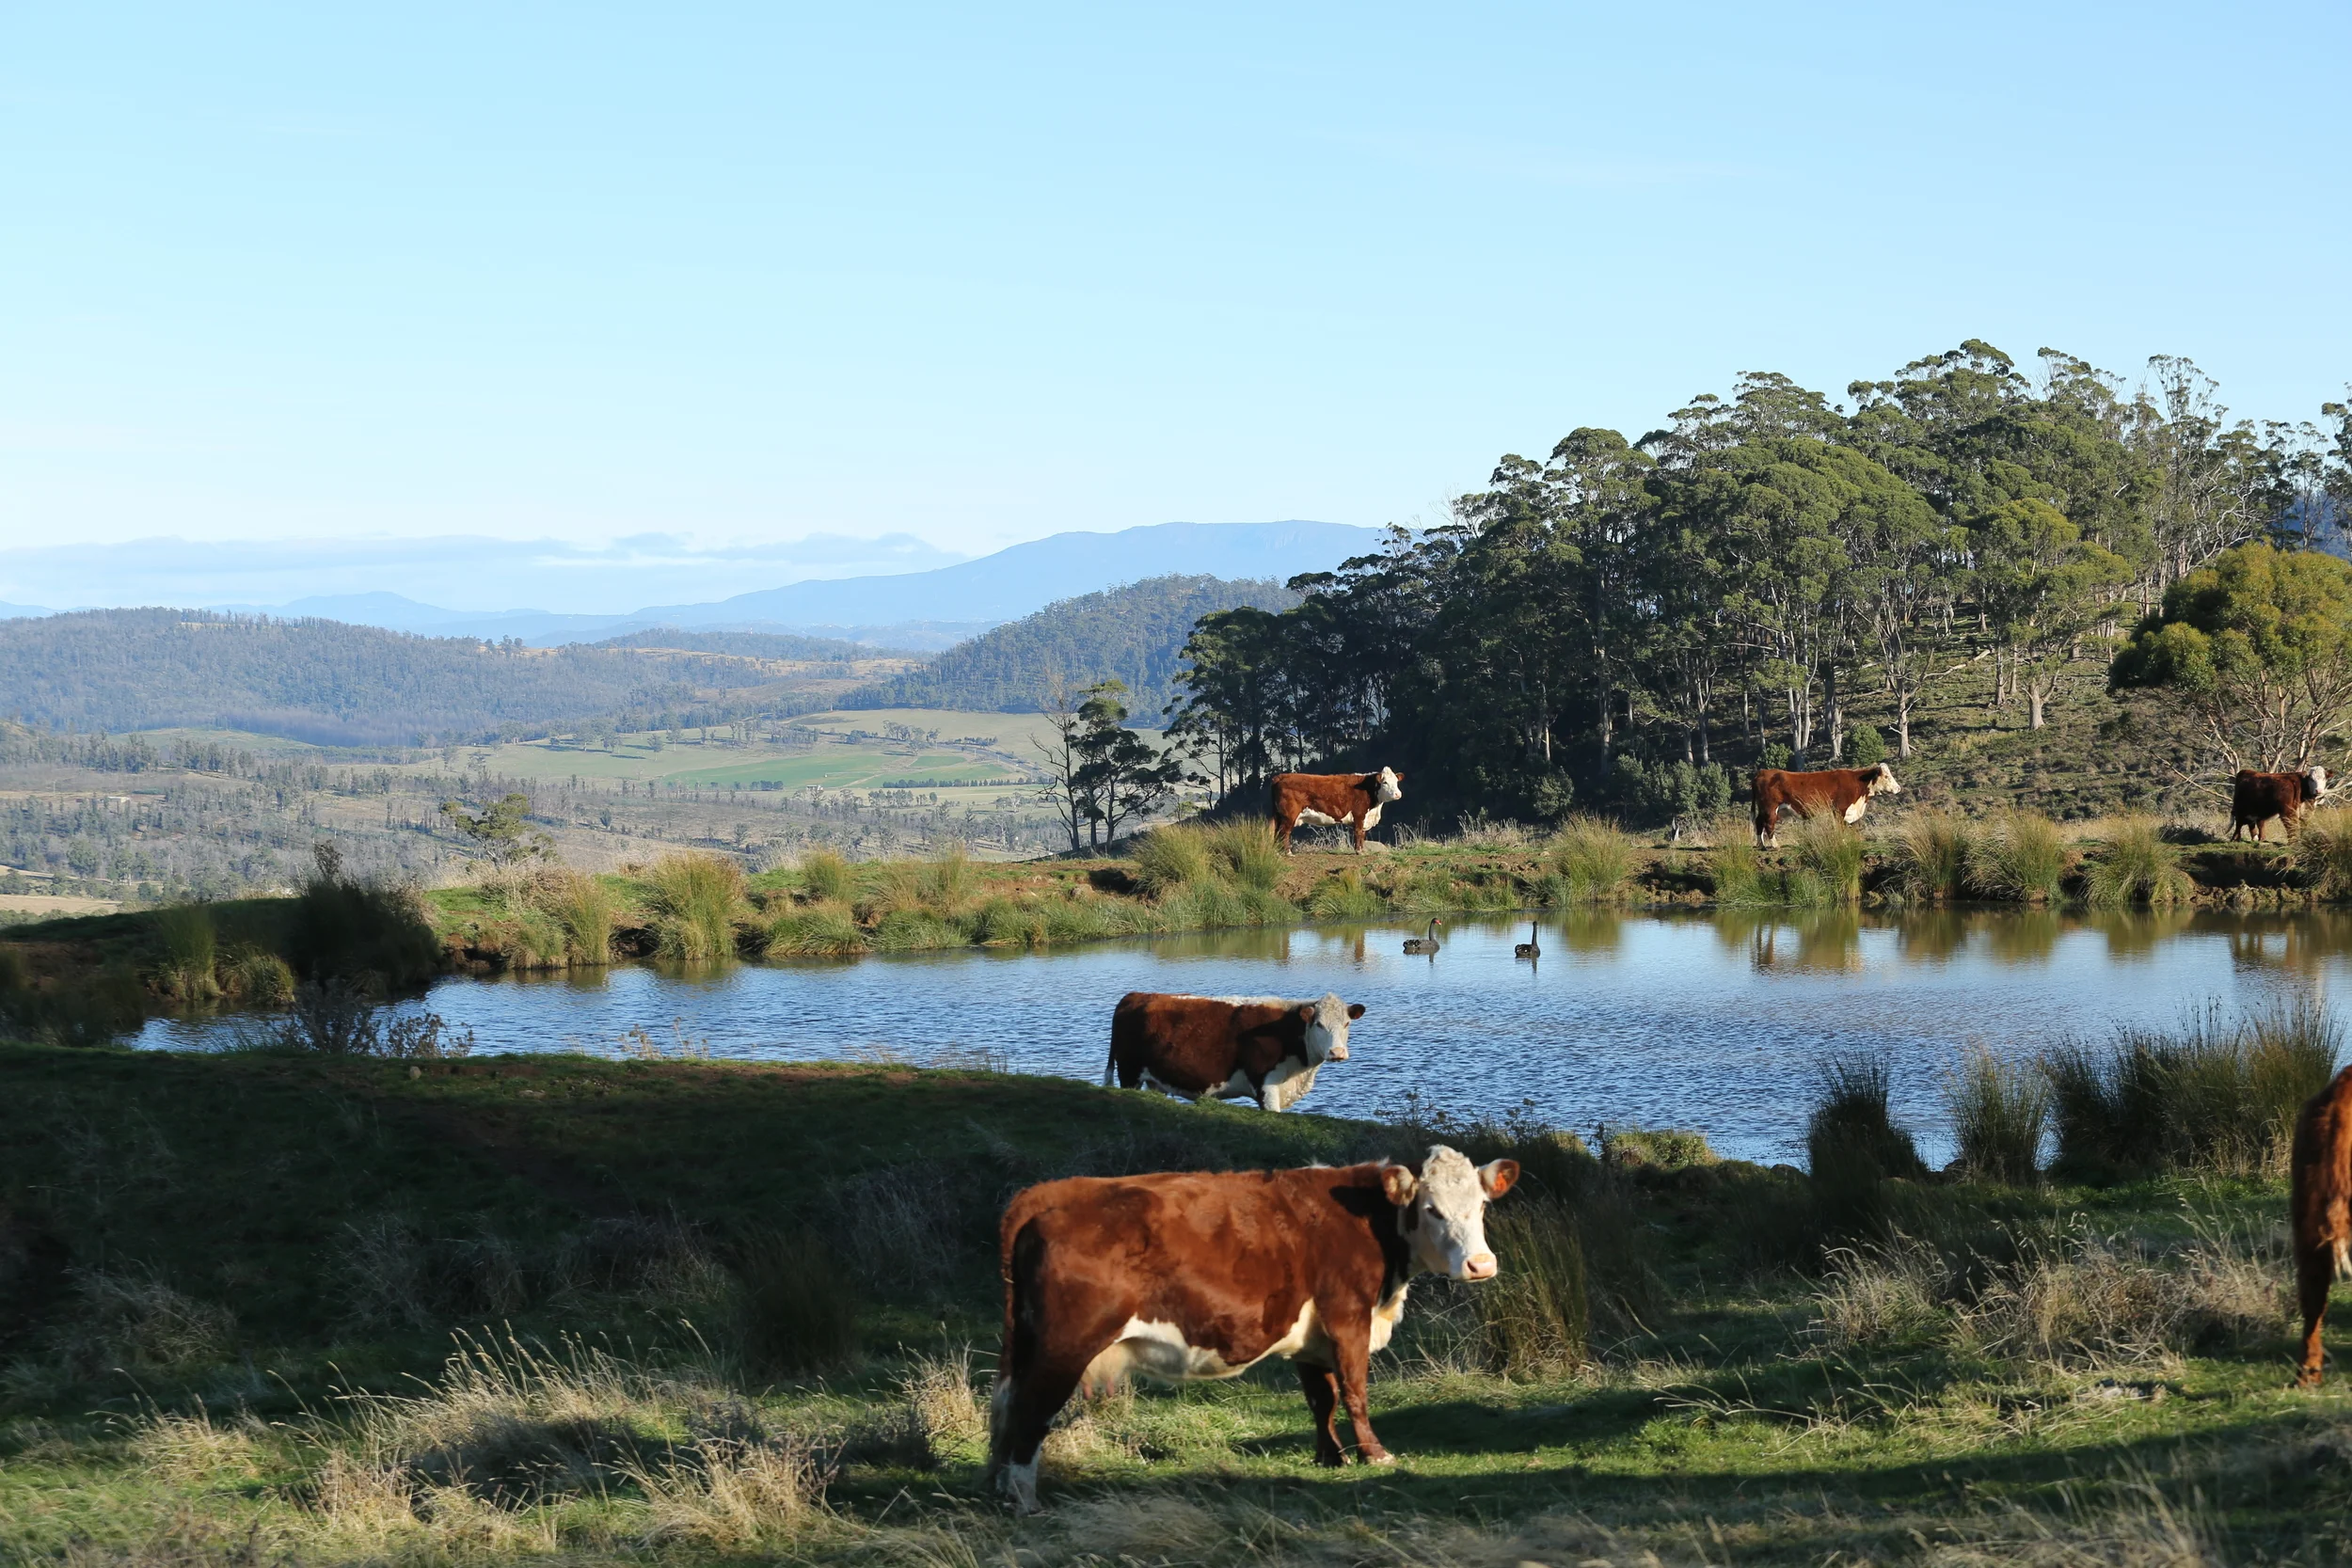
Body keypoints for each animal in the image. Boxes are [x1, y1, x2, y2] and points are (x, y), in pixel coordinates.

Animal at [985, 1146, 1519, 1512]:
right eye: (1431, 1209)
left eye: (1482, 1205)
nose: (1481, 1265)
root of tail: (1045, 1194)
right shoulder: (1348, 1316)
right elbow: (1354, 1390)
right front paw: (1375, 1454)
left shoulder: (1311, 1335)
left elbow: (1321, 1398)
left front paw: (1330, 1457)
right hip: (1063, 1346)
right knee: (1031, 1412)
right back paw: (1026, 1501)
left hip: (1024, 1345)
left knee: (1005, 1409)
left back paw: (999, 1490)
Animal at [1105, 991, 1362, 1112]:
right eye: (1319, 1024)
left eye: (1347, 1023)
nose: (1337, 1052)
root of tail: (1136, 995)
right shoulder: (1265, 1084)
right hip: (1129, 1074)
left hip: (1154, 1081)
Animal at [1271, 767, 1404, 853]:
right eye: (1385, 782)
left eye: (1397, 782)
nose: (1398, 794)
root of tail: (1282, 776)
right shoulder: (1359, 814)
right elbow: (1358, 832)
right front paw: (1359, 851)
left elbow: (1362, 834)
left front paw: (1362, 850)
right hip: (1289, 815)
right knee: (1284, 832)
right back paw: (1288, 852)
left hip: (1279, 816)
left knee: (1277, 832)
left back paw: (1277, 851)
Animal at [1750, 762, 1902, 848]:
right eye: (1886, 776)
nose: (1898, 788)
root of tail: (1762, 772)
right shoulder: (1840, 810)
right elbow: (1840, 828)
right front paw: (1843, 842)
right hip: (1770, 808)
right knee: (1768, 825)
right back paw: (1775, 845)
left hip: (1763, 809)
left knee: (1759, 822)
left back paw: (1761, 845)